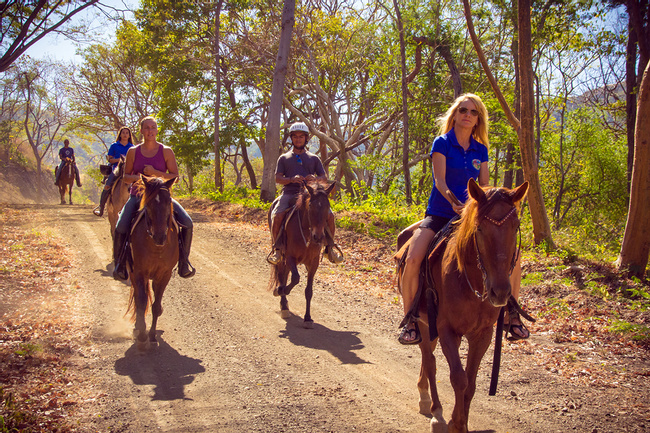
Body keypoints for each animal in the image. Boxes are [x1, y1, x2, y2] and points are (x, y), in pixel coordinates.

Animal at [124, 174, 177, 350]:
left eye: (169, 200)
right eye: (149, 203)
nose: (160, 237)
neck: (156, 247)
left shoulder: (164, 275)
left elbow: (155, 306)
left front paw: (152, 336)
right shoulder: (139, 273)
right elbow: (141, 303)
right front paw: (142, 335)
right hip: (134, 273)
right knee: (138, 297)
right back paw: (138, 328)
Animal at [268, 180, 336, 328]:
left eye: (328, 205)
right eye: (310, 205)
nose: (318, 237)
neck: (306, 230)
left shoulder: (314, 262)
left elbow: (308, 291)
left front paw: (308, 318)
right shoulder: (290, 257)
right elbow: (295, 278)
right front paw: (280, 290)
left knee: (284, 275)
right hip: (281, 256)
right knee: (281, 275)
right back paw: (283, 304)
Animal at [398, 177, 528, 430]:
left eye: (515, 227)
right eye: (479, 228)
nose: (500, 292)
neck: (472, 284)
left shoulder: (483, 334)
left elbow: (471, 382)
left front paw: (462, 423)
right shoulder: (447, 330)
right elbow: (458, 378)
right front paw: (454, 424)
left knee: (429, 359)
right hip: (423, 322)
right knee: (430, 361)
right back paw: (435, 411)